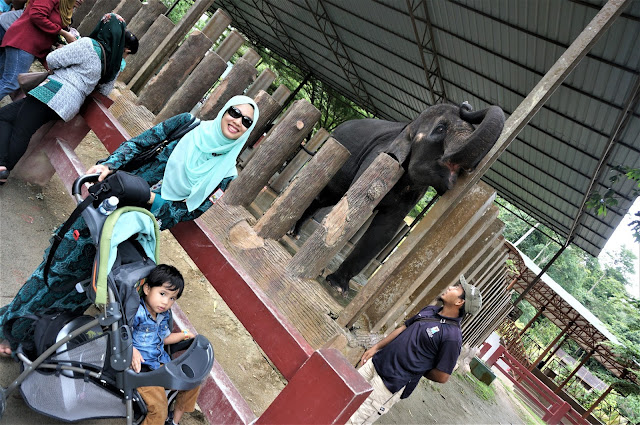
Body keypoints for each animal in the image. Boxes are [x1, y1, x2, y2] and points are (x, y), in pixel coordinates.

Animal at [294, 102, 504, 294]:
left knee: (330, 198)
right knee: (329, 193)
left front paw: (337, 286)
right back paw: (294, 232)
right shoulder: (378, 159)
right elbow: (357, 209)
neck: (409, 126)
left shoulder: (414, 194)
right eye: (440, 129)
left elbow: (384, 231)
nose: (466, 104)